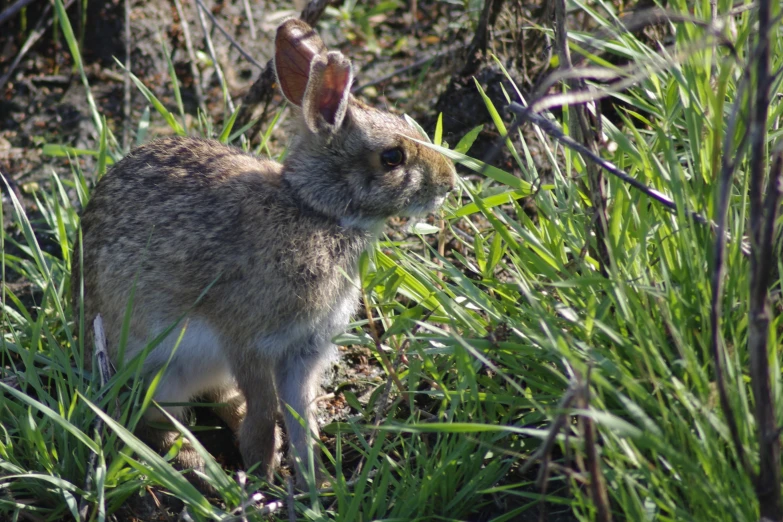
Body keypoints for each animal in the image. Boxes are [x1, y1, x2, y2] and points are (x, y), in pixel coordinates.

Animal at [72, 18, 456, 486]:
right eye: (392, 156)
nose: (450, 182)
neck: (315, 210)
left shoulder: (302, 352)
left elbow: (299, 416)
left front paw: (313, 482)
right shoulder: (251, 342)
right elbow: (264, 412)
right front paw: (263, 475)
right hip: (156, 369)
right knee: (161, 425)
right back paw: (202, 467)